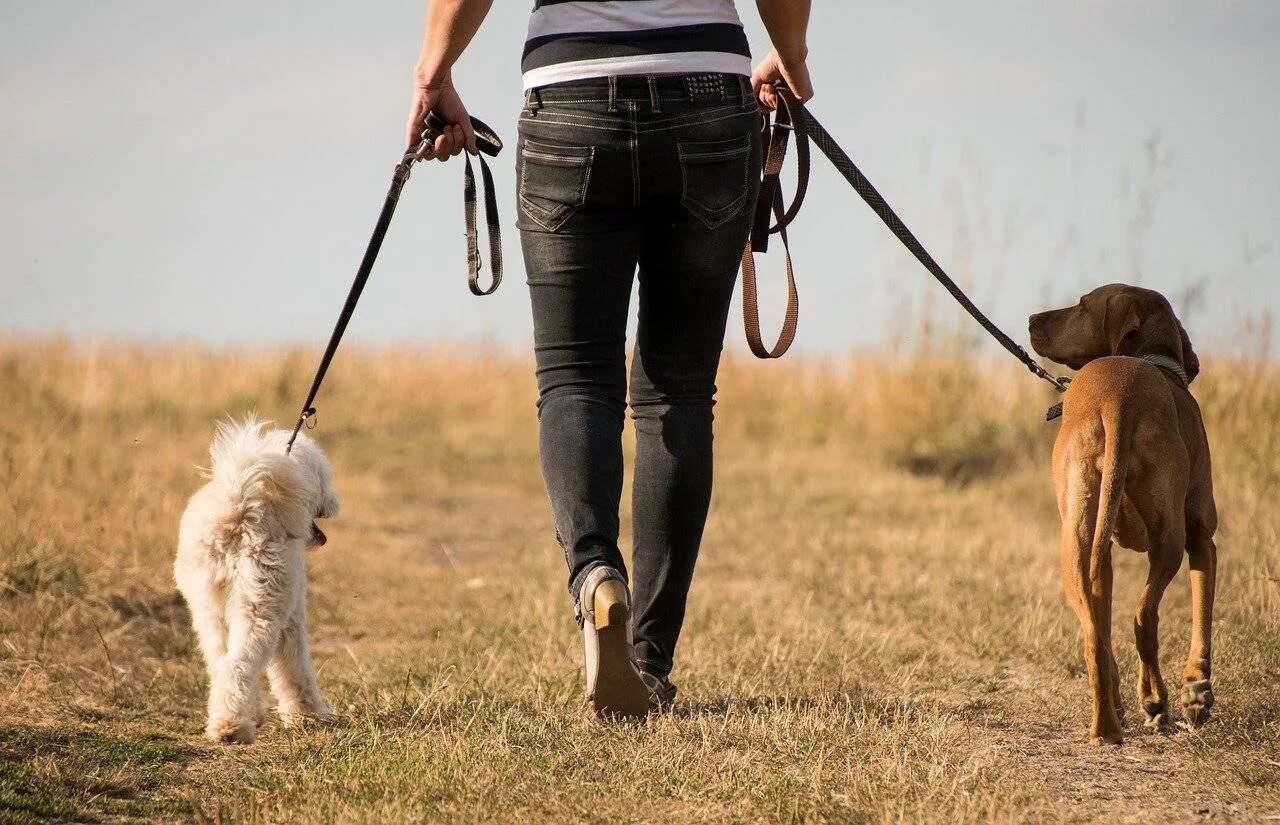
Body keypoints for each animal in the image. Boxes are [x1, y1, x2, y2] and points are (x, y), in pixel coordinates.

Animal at [180, 419, 343, 741]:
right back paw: (233, 729)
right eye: (324, 478)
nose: (334, 501)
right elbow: (296, 670)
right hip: (260, 605)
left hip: (208, 609)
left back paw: (228, 719)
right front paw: (310, 714)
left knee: (220, 663)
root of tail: (239, 507)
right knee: (237, 665)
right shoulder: (292, 618)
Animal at [1029, 286, 1218, 741]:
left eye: (1082, 305)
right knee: (1143, 617)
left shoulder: (1104, 552)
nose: (1030, 320)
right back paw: (1156, 702)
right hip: (1169, 539)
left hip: (1076, 543)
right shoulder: (1202, 537)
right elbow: (1202, 618)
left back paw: (1107, 725)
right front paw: (1196, 691)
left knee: (1094, 636)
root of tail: (1119, 397)